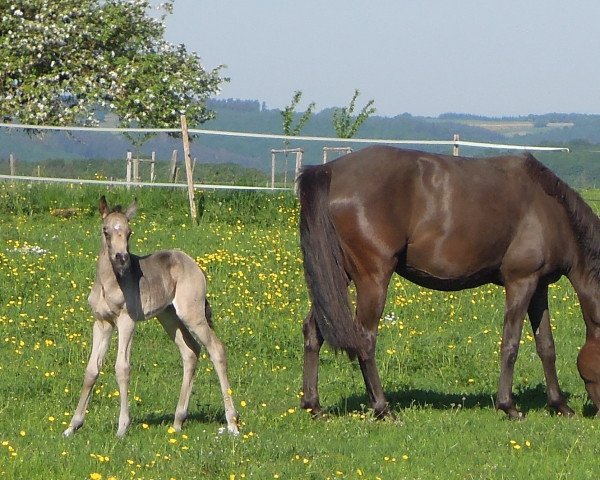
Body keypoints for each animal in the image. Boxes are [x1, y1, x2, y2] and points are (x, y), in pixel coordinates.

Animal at [62, 196, 238, 438]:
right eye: (106, 231)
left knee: (216, 349)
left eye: (129, 232)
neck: (109, 282)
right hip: (168, 317)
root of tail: (194, 265)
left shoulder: (127, 320)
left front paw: (122, 428)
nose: (122, 258)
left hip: (192, 314)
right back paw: (178, 421)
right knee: (191, 351)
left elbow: (122, 368)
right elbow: (91, 370)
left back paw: (232, 424)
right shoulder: (102, 323)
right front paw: (72, 426)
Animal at [298, 146, 600, 420]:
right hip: (372, 279)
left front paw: (559, 405)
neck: (550, 210)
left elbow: (546, 346)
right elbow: (511, 343)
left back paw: (314, 406)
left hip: (337, 277)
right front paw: (508, 406)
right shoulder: (521, 282)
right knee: (365, 338)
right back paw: (383, 408)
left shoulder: (539, 286)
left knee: (314, 329)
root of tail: (328, 170)